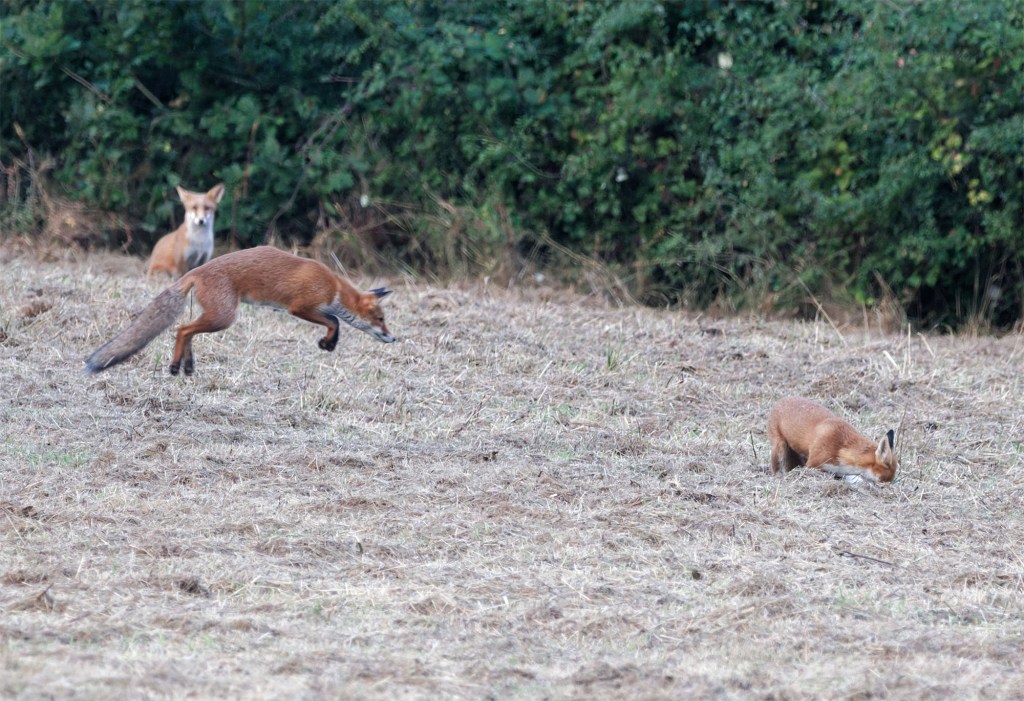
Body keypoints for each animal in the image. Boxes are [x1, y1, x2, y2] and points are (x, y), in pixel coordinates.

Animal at [86, 246, 395, 376]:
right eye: (381, 319)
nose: (394, 338)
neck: (335, 287)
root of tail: (196, 270)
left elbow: (335, 321)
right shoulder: (300, 307)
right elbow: (334, 322)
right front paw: (328, 343)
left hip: (217, 316)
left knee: (186, 332)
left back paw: (186, 366)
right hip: (224, 317)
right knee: (182, 329)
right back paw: (175, 366)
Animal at [767, 396, 898, 483]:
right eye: (884, 480)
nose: (888, 487)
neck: (841, 449)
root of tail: (781, 400)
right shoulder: (813, 465)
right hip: (780, 447)